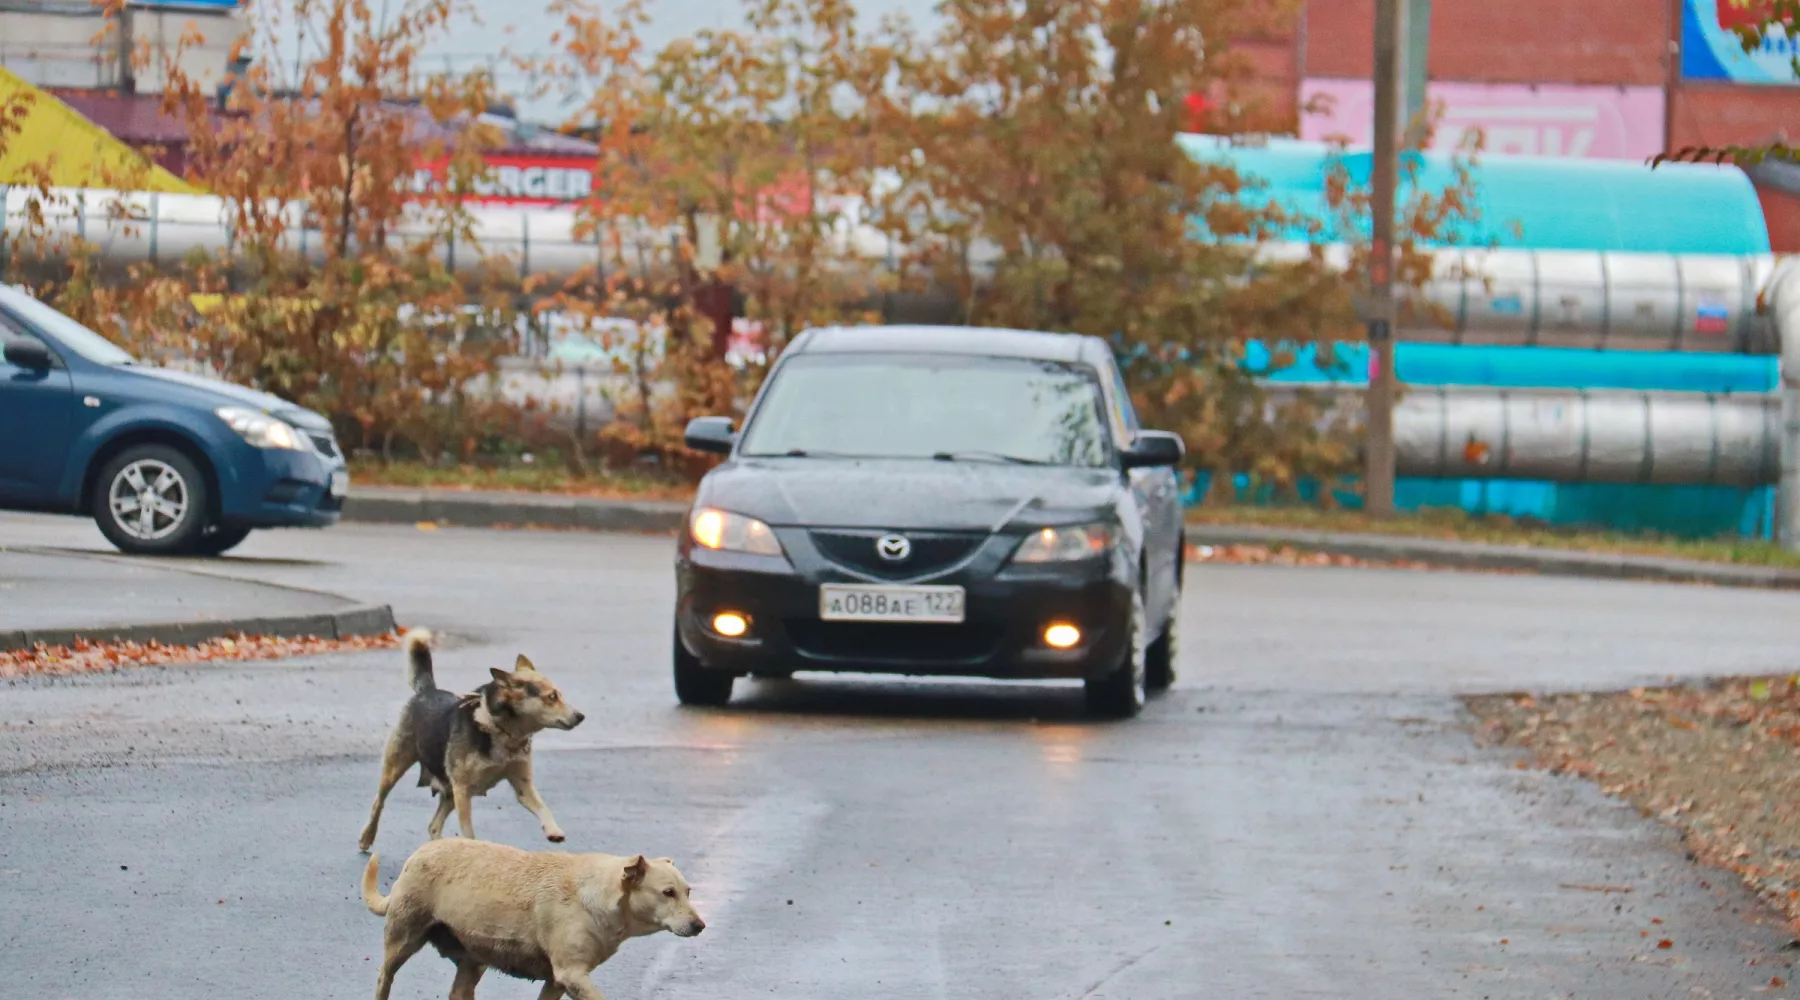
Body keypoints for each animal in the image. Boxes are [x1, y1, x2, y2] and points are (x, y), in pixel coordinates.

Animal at [361, 633, 586, 852]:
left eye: (559, 694)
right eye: (552, 697)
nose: (580, 716)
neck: (502, 731)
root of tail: (427, 691)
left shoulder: (523, 786)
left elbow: (543, 808)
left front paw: (553, 830)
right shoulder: (463, 791)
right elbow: (468, 832)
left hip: (449, 790)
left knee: (433, 826)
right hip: (396, 768)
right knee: (378, 803)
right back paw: (367, 837)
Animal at [361, 838, 705, 992]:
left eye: (688, 891)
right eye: (668, 893)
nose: (700, 925)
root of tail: (421, 850)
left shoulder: (558, 981)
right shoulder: (571, 975)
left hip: (473, 962)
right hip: (403, 938)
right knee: (384, 975)